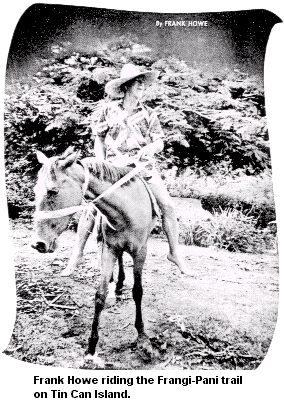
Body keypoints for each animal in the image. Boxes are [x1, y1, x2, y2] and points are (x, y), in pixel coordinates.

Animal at [33, 146, 158, 362]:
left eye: (52, 192)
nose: (39, 244)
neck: (126, 209)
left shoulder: (141, 251)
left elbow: (138, 291)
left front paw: (143, 339)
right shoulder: (109, 248)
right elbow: (100, 295)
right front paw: (91, 347)